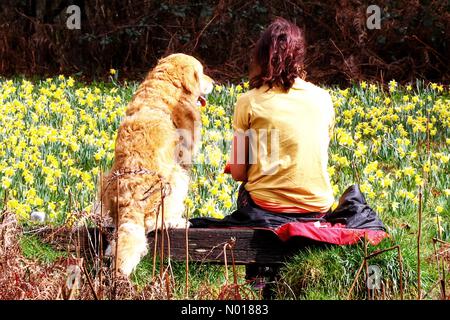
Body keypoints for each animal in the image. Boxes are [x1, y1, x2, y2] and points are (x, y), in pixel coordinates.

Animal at [102, 53, 214, 276]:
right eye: (202, 72)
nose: (214, 82)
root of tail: (131, 198)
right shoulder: (185, 155)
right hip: (178, 177)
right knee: (155, 223)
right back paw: (178, 222)